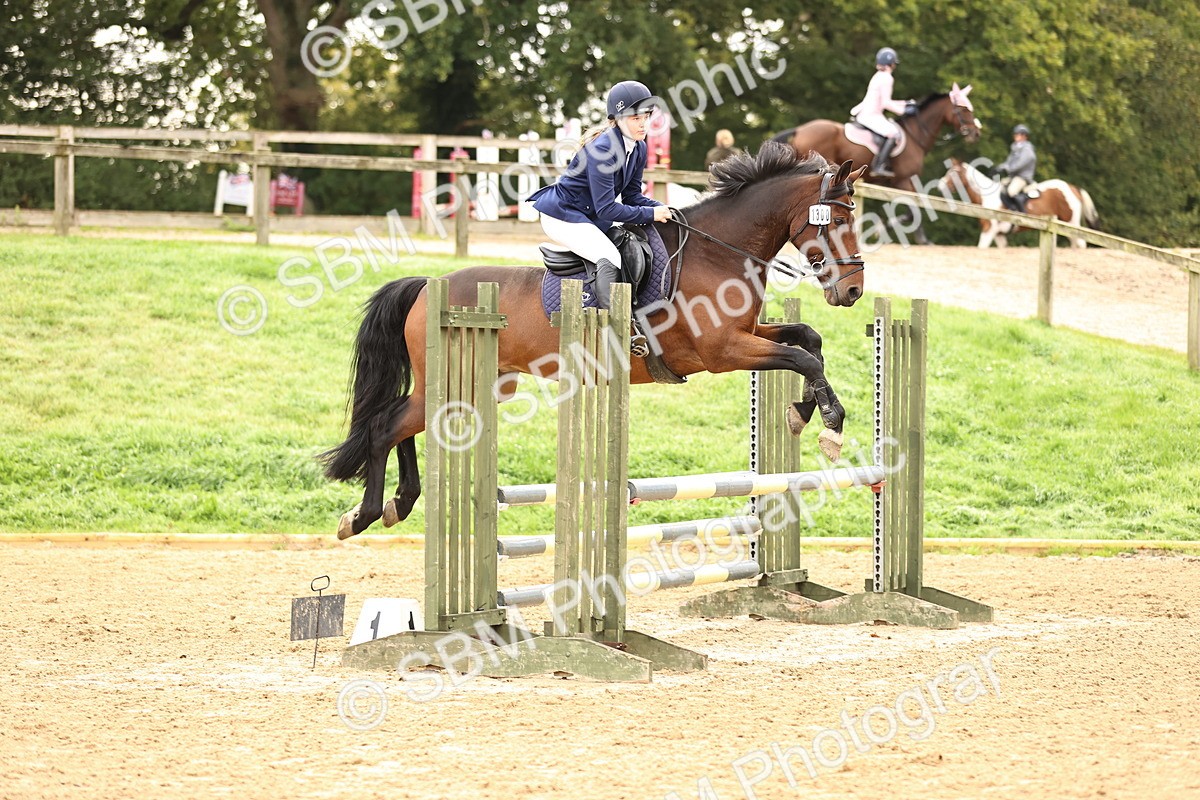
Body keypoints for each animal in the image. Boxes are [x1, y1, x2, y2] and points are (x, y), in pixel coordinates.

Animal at [321, 145, 870, 539]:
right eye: (839, 221)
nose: (853, 291)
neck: (719, 252)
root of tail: (426, 286)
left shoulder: (747, 336)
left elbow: (808, 341)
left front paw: (802, 413)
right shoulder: (724, 352)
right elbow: (800, 356)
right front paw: (830, 426)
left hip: (471, 387)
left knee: (401, 422)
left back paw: (399, 503)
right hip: (456, 382)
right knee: (383, 427)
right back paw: (364, 515)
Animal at [772, 85, 981, 244]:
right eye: (964, 109)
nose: (975, 133)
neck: (915, 135)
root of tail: (800, 129)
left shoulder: (898, 183)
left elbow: (911, 209)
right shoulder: (904, 180)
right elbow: (912, 211)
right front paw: (885, 232)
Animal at [938, 158, 1100, 248]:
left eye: (954, 173)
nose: (940, 185)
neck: (987, 197)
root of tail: (1073, 187)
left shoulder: (989, 230)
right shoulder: (999, 235)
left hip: (1071, 223)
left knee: (1080, 244)